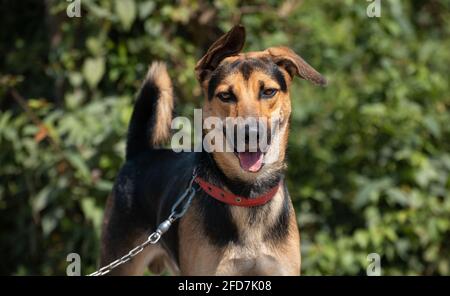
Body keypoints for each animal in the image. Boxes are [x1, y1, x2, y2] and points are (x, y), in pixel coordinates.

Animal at [100, 24, 326, 276]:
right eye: (225, 96)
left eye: (268, 92)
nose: (251, 134)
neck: (247, 196)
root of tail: (139, 153)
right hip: (119, 260)